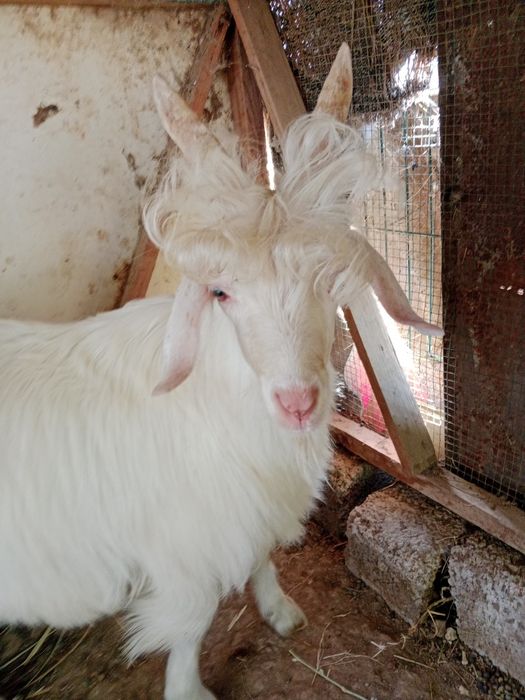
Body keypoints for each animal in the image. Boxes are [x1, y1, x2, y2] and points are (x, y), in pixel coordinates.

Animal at [0, 44, 442, 700]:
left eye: (327, 282)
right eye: (220, 293)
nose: (297, 403)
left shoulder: (245, 512)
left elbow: (259, 557)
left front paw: (280, 609)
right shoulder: (186, 548)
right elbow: (193, 619)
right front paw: (188, 688)